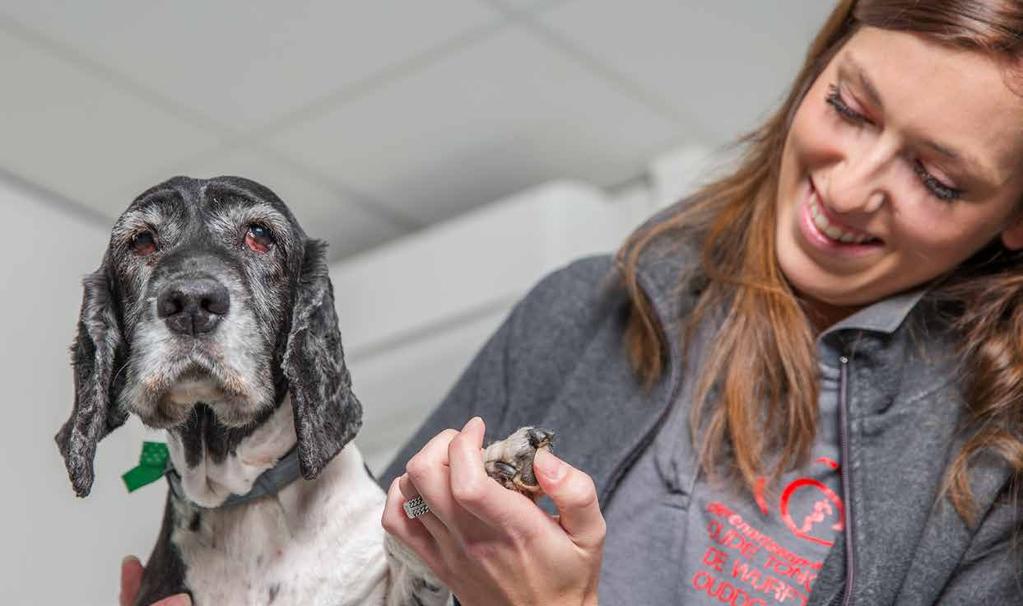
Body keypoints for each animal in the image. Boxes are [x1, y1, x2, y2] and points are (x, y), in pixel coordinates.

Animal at [53, 176, 552, 606]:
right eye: (141, 241)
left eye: (259, 234)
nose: (191, 302)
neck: (245, 495)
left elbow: (408, 555)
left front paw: (491, 462)